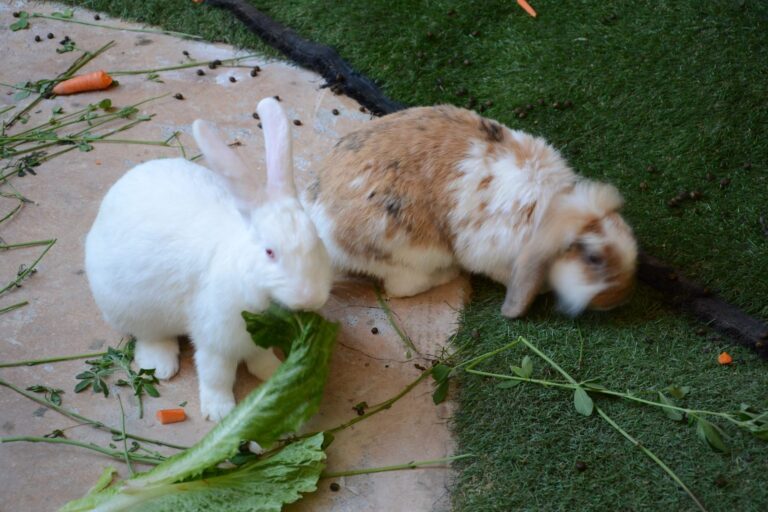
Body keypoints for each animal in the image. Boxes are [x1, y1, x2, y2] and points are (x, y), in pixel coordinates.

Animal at [85, 97, 332, 421]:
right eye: (269, 252)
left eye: (317, 240)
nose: (311, 299)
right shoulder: (216, 341)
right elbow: (217, 375)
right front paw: (220, 412)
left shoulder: (255, 341)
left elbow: (261, 358)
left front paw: (274, 372)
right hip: (131, 308)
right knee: (148, 336)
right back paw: (161, 365)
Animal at [303, 105, 637, 318]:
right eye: (593, 258)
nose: (618, 299)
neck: (547, 211)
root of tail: (321, 228)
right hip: (410, 254)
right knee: (404, 288)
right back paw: (448, 274)